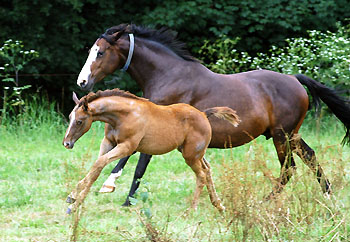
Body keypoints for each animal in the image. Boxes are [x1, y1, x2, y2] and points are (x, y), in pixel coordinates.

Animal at [62, 89, 241, 214]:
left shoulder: (127, 147)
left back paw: (192, 210)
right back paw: (219, 205)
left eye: (79, 121)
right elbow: (96, 168)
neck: (123, 116)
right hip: (194, 153)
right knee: (208, 170)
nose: (67, 143)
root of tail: (204, 114)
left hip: (190, 156)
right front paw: (73, 198)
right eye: (70, 117)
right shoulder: (108, 143)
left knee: (201, 175)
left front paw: (75, 203)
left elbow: (99, 164)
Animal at [76, 23, 350, 204]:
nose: (82, 82)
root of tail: (295, 79)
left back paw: (266, 200)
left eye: (100, 52)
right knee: (310, 157)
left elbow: (137, 161)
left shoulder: (156, 127)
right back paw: (328, 194)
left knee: (289, 167)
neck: (168, 76)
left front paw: (117, 192)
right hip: (289, 134)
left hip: (282, 136)